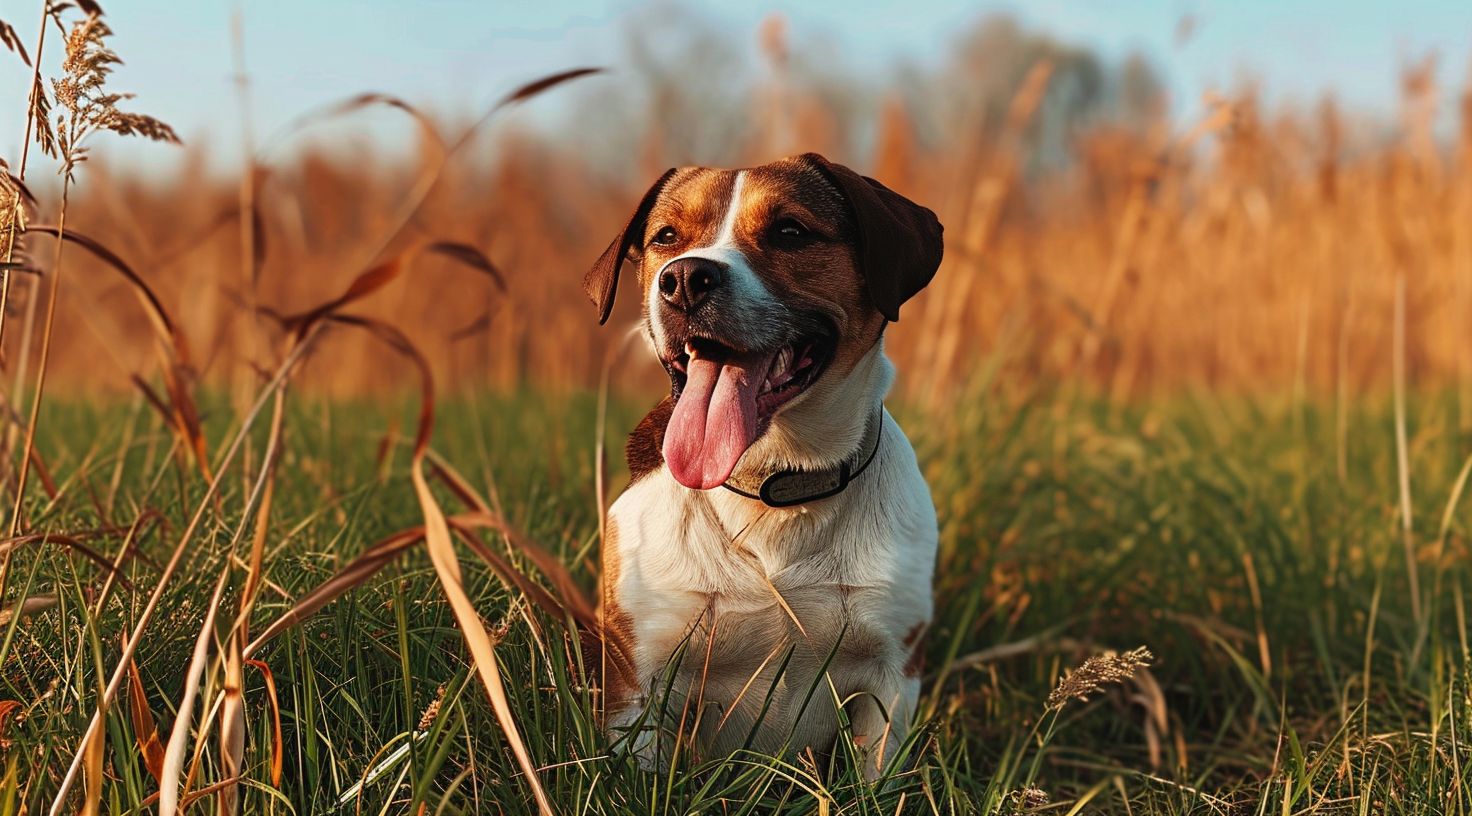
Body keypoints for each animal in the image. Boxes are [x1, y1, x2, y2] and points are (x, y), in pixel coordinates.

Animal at [582, 152, 942, 777]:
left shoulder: (892, 678)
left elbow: (875, 779)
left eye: (789, 232)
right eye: (667, 237)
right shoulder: (639, 683)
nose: (683, 279)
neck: (774, 484)